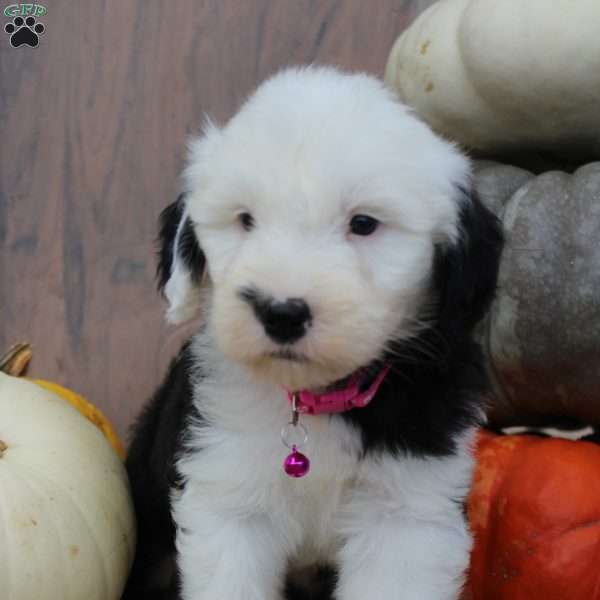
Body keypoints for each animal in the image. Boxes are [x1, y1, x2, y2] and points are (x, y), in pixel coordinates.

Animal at [124, 65, 504, 600]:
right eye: (245, 219)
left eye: (363, 223)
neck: (317, 403)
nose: (280, 312)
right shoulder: (229, 491)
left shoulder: (408, 512)